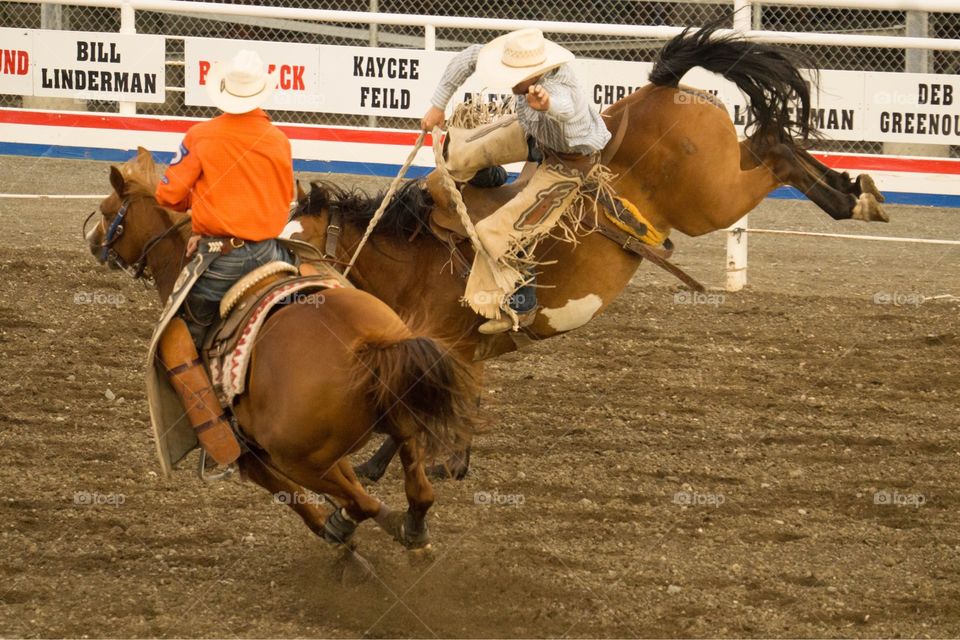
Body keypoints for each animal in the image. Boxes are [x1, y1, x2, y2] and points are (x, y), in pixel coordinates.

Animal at [88, 149, 478, 556]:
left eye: (107, 210)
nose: (93, 241)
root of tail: (366, 346)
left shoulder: (252, 455)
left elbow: (299, 501)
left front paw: (337, 532)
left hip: (296, 458)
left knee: (361, 503)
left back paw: (348, 525)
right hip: (397, 422)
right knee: (416, 491)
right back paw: (410, 525)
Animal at [288, 23, 888, 480]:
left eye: (297, 249)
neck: (416, 265)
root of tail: (661, 87)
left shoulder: (450, 348)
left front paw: (379, 474)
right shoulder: (462, 356)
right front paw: (439, 465)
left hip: (711, 199)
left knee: (775, 151)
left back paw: (858, 200)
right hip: (720, 173)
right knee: (770, 140)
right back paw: (855, 191)